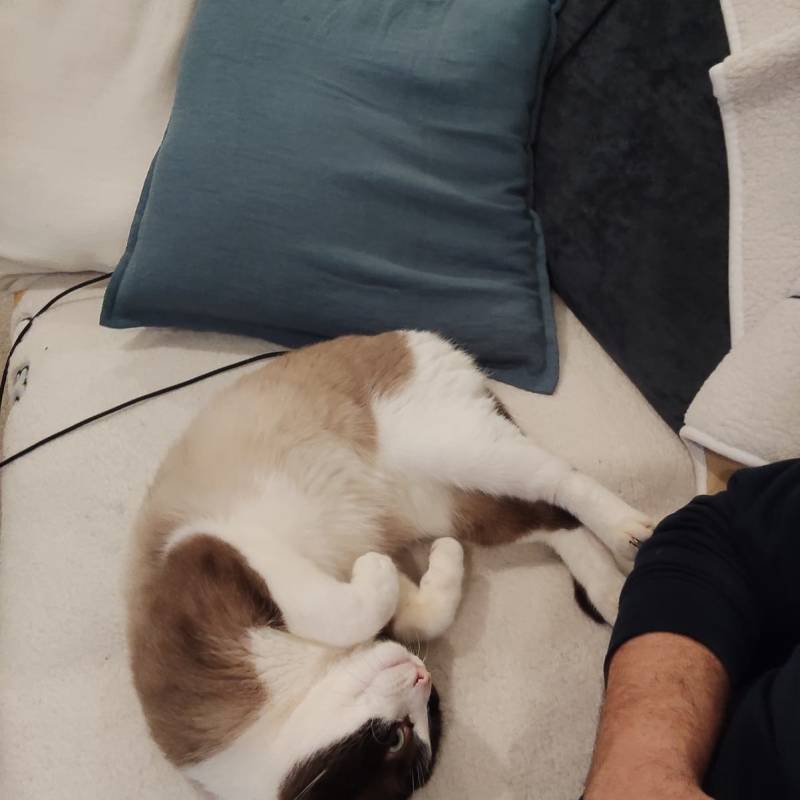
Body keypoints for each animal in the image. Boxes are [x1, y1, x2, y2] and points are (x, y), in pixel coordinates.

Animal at [127, 330, 652, 800]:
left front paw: (374, 567)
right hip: (446, 504)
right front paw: (437, 563)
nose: (423, 676)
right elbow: (419, 610)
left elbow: (352, 605)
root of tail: (401, 334)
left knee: (562, 480)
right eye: (402, 733)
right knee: (552, 520)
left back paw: (631, 532)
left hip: (464, 453)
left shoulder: (217, 546)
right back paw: (611, 594)